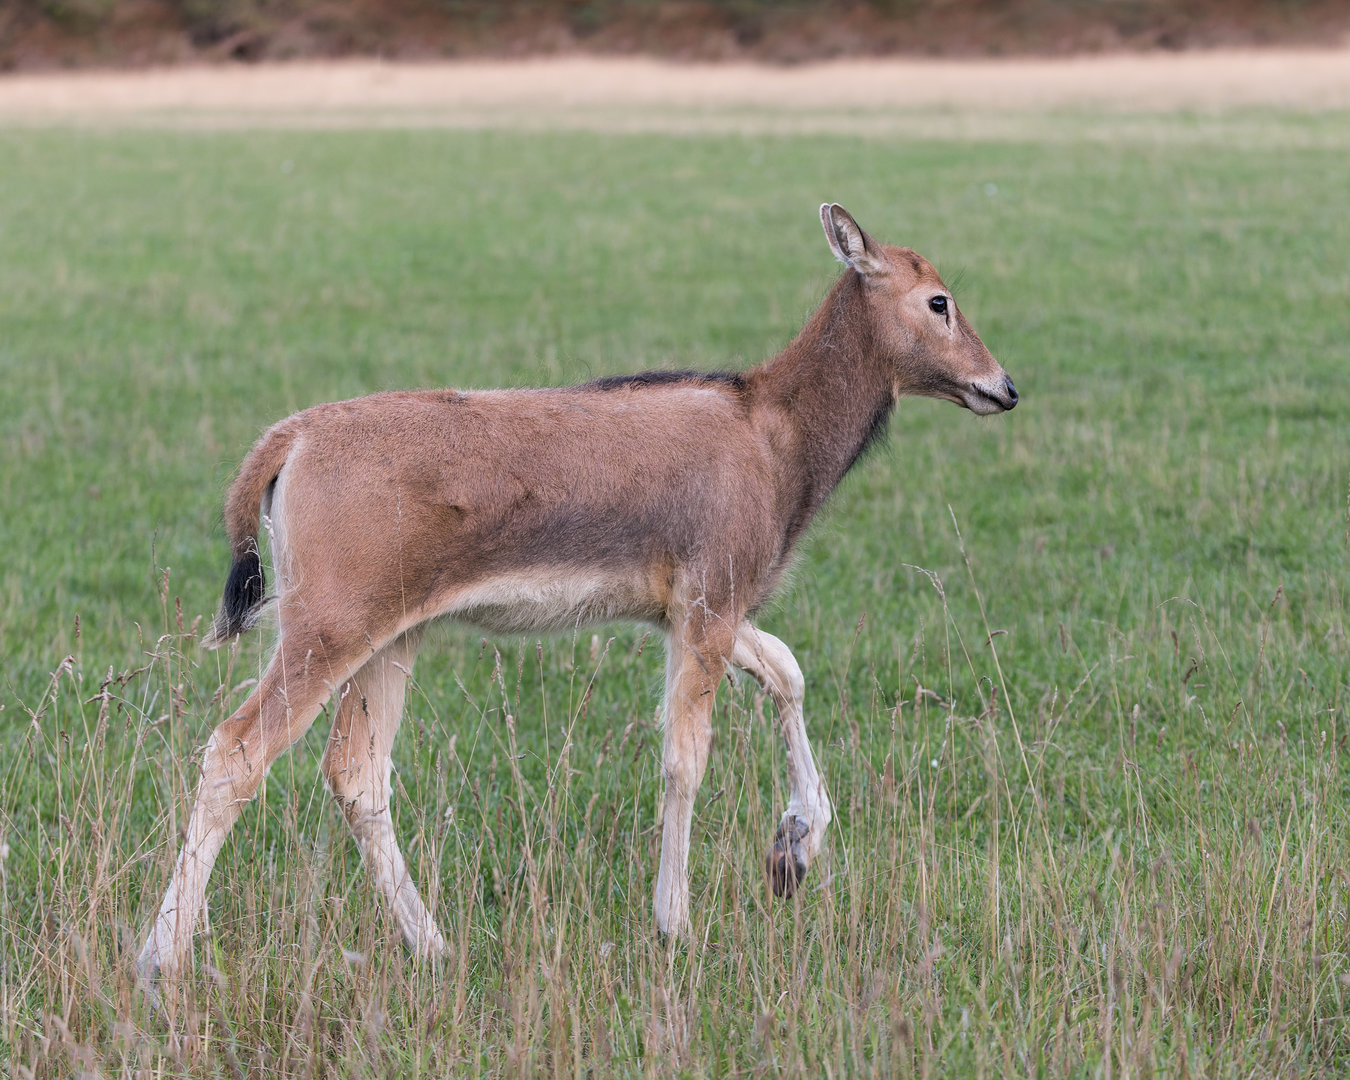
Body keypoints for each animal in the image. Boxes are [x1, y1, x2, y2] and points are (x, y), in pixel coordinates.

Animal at [136, 204, 1018, 988]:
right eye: (938, 300)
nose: (1003, 386)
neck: (781, 445)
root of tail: (285, 443)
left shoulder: (694, 605)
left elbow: (787, 668)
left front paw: (792, 853)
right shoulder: (711, 593)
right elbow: (685, 758)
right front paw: (675, 924)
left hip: (390, 631)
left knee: (356, 772)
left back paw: (434, 946)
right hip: (328, 619)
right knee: (236, 750)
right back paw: (162, 958)